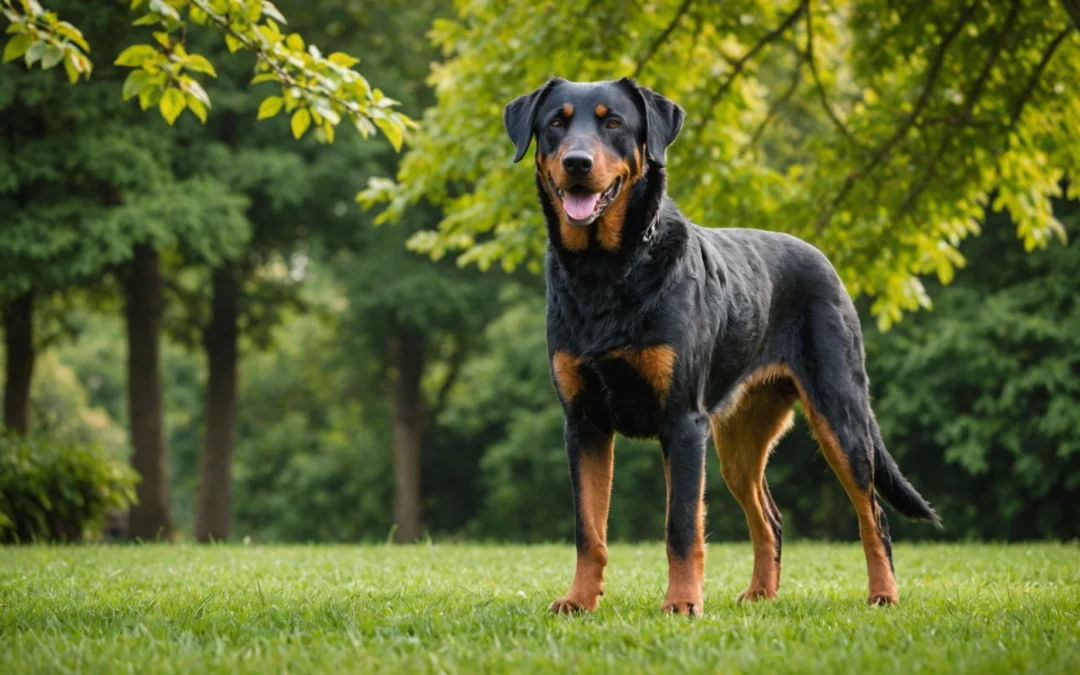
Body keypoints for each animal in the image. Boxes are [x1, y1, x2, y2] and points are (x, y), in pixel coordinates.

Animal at [503, 78, 937, 617]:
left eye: (614, 123)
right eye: (556, 123)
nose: (577, 163)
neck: (606, 269)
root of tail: (825, 262)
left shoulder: (683, 423)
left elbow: (682, 526)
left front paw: (682, 603)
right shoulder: (583, 423)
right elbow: (589, 529)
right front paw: (580, 601)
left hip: (840, 414)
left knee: (872, 513)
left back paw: (883, 594)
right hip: (739, 440)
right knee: (769, 517)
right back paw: (760, 593)